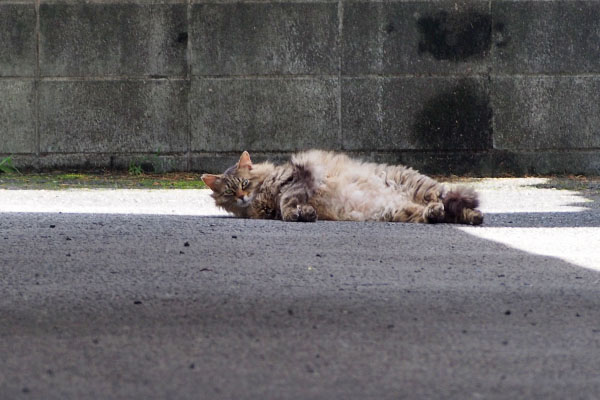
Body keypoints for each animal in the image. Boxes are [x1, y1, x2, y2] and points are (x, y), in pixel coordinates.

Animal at [202, 150, 482, 225]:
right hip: (398, 210)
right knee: (442, 213)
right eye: (230, 192)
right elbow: (289, 209)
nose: (242, 197)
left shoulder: (296, 180)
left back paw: (474, 215)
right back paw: (445, 214)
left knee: (449, 199)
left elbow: (286, 201)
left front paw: (297, 214)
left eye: (244, 183)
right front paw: (305, 214)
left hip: (421, 187)